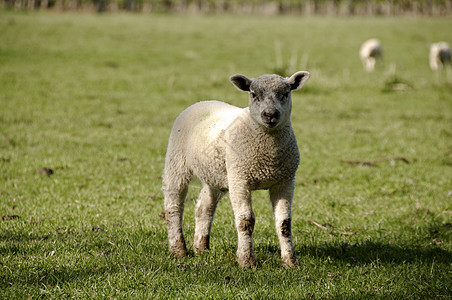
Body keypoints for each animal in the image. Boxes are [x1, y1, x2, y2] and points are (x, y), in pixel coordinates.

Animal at [162, 71, 310, 268]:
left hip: (217, 175)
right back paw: (179, 250)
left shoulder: (285, 180)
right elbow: (246, 221)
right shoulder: (240, 179)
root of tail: (202, 102)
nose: (270, 114)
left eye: (286, 94)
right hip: (177, 162)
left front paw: (291, 262)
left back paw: (201, 248)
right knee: (173, 206)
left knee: (204, 207)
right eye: (253, 94)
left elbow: (284, 224)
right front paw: (246, 261)